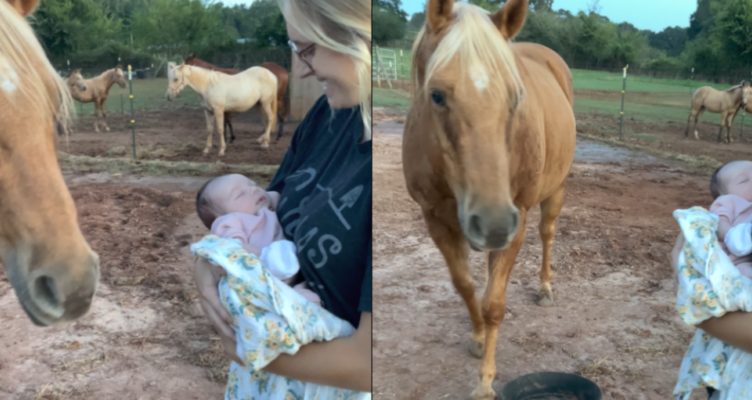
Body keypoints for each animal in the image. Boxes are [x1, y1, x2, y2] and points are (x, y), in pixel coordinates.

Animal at [403, 0, 576, 398]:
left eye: (516, 96)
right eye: (437, 94)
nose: (495, 223)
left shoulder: (519, 217)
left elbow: (494, 304)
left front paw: (484, 382)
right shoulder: (434, 218)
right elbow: (465, 286)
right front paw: (478, 335)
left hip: (553, 191)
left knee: (548, 234)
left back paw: (545, 287)